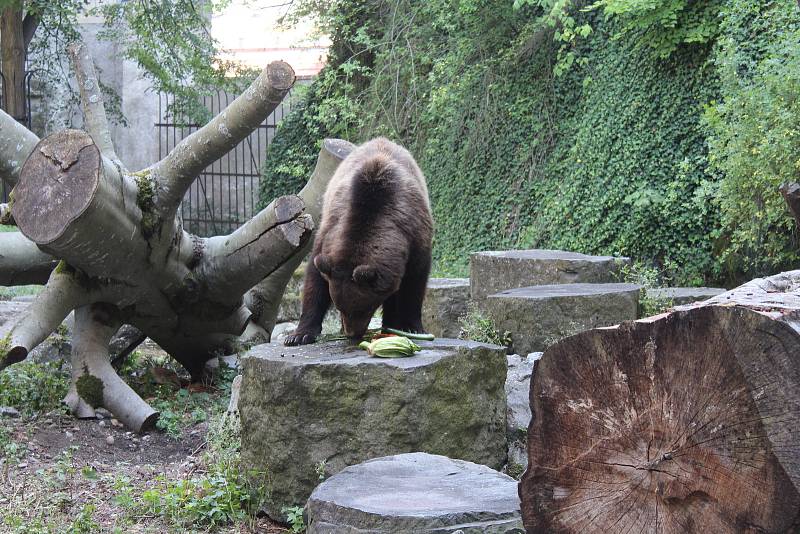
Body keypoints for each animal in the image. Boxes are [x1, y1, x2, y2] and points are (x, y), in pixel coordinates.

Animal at [282, 138, 432, 348]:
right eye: (339, 307)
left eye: (364, 308)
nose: (352, 333)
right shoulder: (328, 234)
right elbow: (315, 281)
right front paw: (298, 335)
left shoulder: (415, 236)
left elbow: (414, 283)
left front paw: (413, 327)